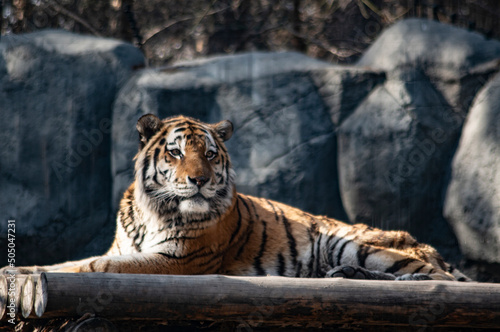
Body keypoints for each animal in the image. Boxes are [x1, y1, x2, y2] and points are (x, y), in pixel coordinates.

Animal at [5, 114, 470, 280]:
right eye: (176, 152)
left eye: (210, 154)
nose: (199, 180)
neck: (152, 212)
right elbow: (61, 263)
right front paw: (19, 269)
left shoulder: (182, 259)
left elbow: (96, 265)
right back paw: (342, 277)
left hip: (354, 243)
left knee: (437, 280)